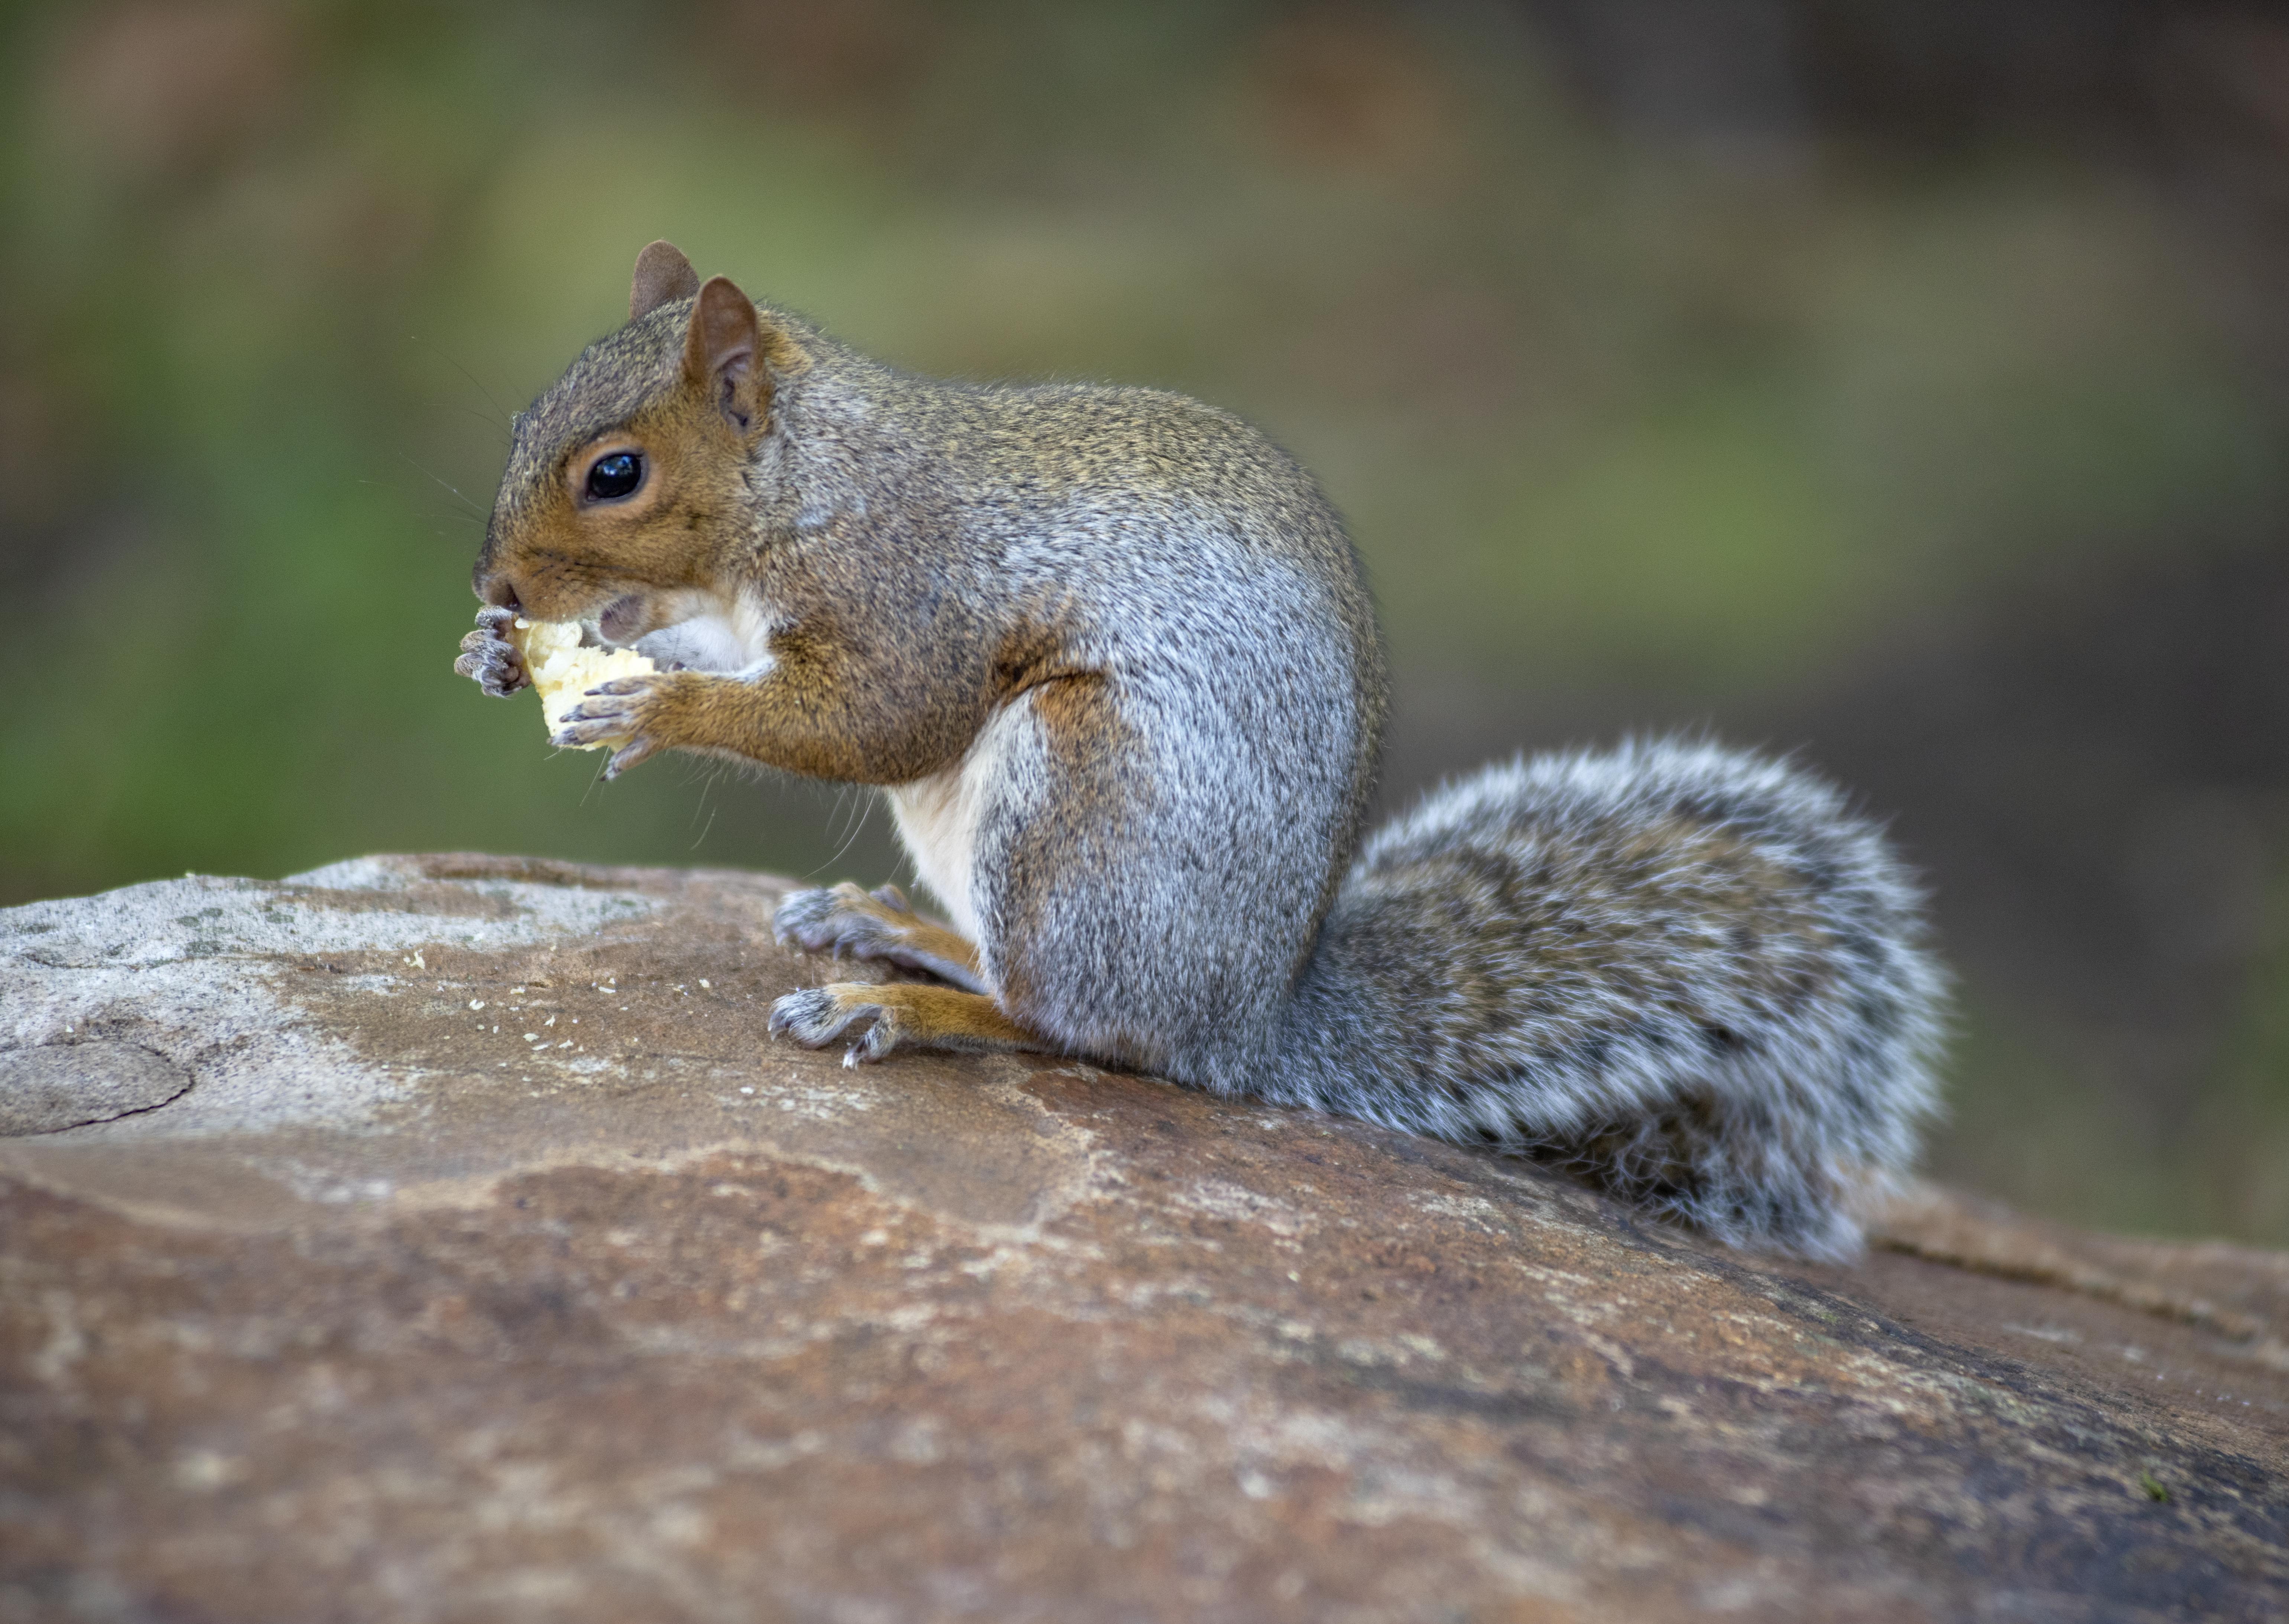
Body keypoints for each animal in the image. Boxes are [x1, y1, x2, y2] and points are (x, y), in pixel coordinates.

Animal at [455, 239, 1941, 1262]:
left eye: (615, 473)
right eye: (522, 422)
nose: (502, 586)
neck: (806, 488)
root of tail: (1250, 1016)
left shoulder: (910, 593)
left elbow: (876, 716)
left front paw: (655, 710)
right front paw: (505, 657)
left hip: (1083, 800)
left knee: (1082, 1029)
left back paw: (911, 1007)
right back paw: (901, 935)